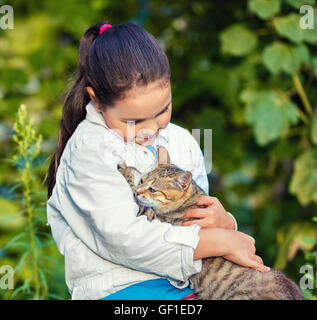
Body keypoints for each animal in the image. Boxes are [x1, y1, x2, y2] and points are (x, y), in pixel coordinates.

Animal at [116, 146, 304, 300]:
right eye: (142, 181)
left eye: (153, 189)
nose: (140, 191)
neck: (189, 200)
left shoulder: (153, 217)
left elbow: (138, 201)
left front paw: (124, 170)